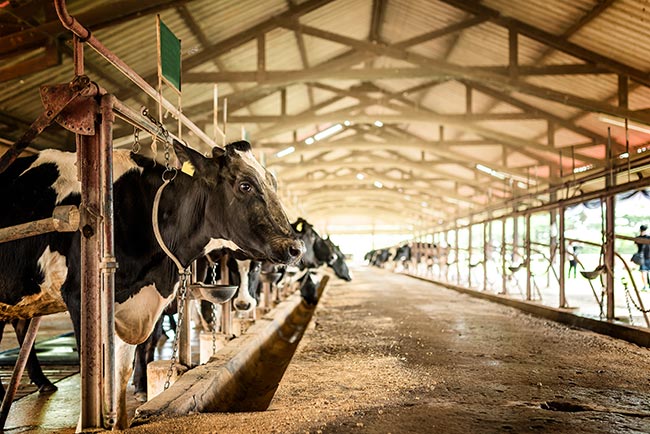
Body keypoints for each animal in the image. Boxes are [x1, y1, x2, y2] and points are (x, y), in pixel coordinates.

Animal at [0, 141, 302, 428]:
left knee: (20, 325)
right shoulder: (80, 297)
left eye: (272, 183)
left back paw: (41, 383)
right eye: (245, 185)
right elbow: (102, 373)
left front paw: (123, 413)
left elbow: (123, 370)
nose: (295, 247)